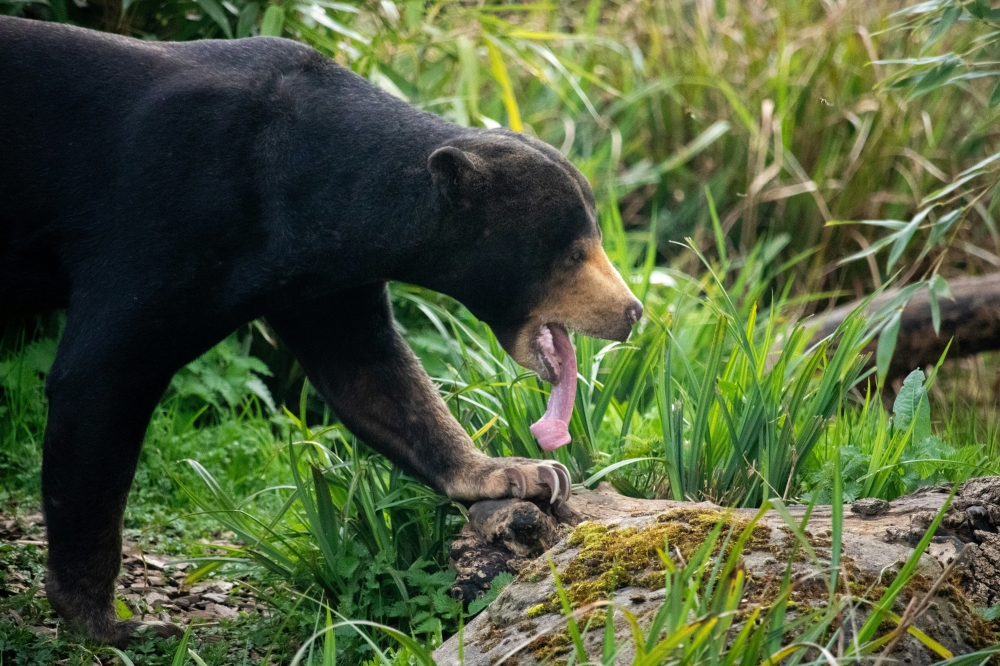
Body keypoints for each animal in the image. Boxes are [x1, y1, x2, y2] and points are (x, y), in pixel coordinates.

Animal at [0, 15, 642, 646]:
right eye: (572, 253)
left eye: (596, 239)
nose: (632, 311)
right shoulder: (159, 214)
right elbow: (98, 376)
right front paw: (107, 622)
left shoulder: (322, 282)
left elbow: (373, 378)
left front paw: (524, 473)